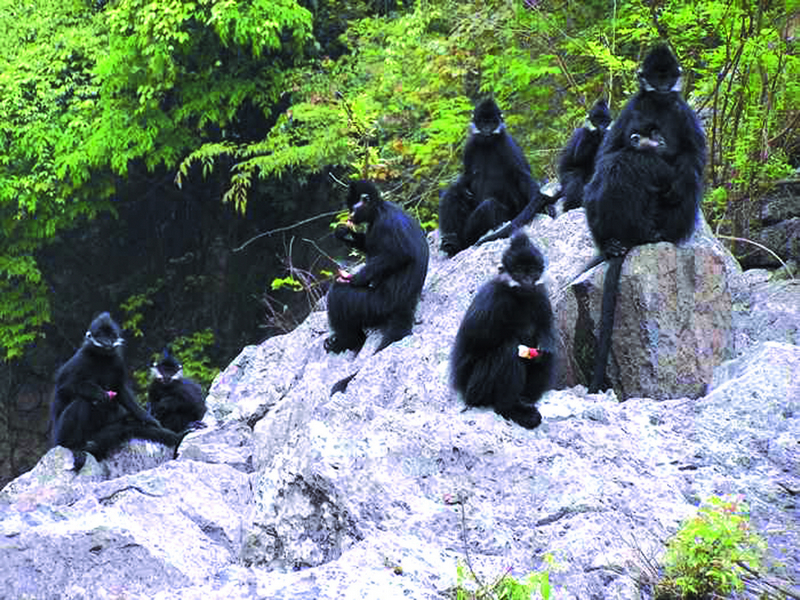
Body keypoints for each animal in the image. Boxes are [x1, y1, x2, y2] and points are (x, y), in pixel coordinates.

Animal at [50, 312, 181, 472]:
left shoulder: (117, 361)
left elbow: (121, 391)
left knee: (128, 426)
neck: (102, 358)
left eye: (111, 336)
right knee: (82, 402)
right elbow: (64, 388)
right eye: (101, 336)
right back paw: (73, 447)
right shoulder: (80, 359)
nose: (107, 342)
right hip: (60, 436)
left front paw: (149, 419)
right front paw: (97, 392)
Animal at [322, 178, 428, 356]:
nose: (350, 215)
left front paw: (356, 279)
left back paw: (347, 341)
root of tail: (406, 303)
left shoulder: (386, 224)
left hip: (376, 305)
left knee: (338, 295)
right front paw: (342, 232)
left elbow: (400, 255)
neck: (379, 210)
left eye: (353, 209)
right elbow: (367, 245)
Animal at [438, 98, 544, 255]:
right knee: (452, 194)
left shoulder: (506, 144)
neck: (487, 144)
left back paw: (461, 243)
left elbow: (522, 175)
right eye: (483, 122)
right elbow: (466, 179)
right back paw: (452, 242)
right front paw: (460, 187)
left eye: (492, 123)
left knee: (489, 206)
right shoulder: (470, 145)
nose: (487, 130)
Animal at [450, 232, 556, 428]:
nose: (527, 281)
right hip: (477, 389)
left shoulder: (540, 294)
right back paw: (510, 409)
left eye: (532, 272)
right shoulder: (492, 298)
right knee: (508, 350)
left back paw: (525, 400)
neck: (519, 298)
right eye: (520, 272)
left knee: (548, 356)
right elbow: (476, 341)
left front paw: (543, 345)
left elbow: (546, 328)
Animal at [580, 45, 708, 394]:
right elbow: (608, 152)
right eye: (656, 76)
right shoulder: (631, 110)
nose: (663, 86)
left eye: (667, 76)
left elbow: (693, 159)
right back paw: (611, 244)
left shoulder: (681, 111)